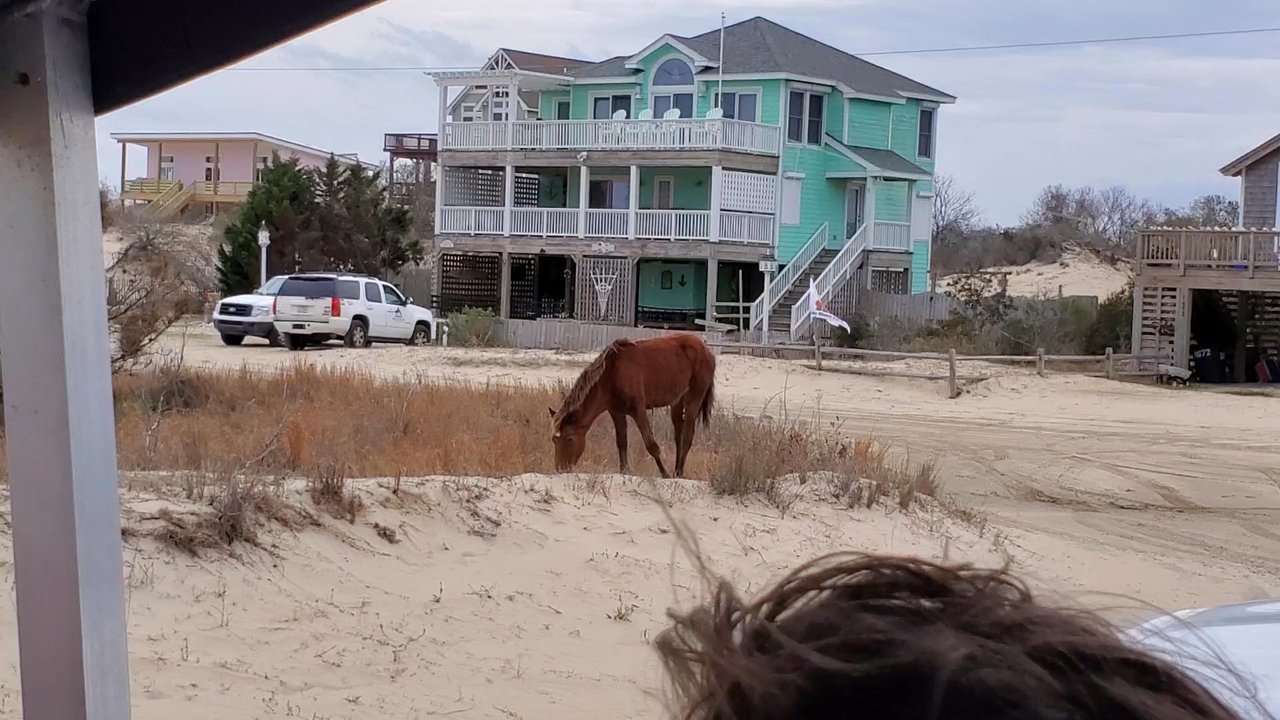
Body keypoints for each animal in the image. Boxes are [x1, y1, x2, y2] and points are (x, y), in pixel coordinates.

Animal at [549, 334, 716, 478]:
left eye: (569, 438)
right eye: (554, 440)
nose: (560, 469)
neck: (612, 375)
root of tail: (706, 349)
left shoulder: (638, 411)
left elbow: (651, 444)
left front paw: (664, 474)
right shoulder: (616, 412)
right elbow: (621, 441)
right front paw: (624, 470)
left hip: (694, 399)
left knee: (687, 436)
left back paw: (679, 472)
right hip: (677, 402)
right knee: (679, 437)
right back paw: (676, 470)